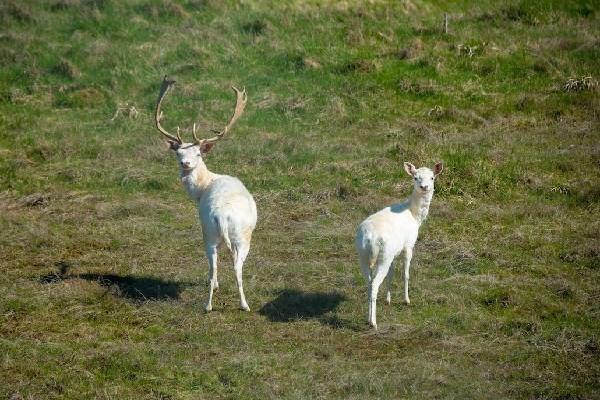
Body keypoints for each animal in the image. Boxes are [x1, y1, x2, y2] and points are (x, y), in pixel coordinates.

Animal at [152, 76, 255, 312]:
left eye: (198, 153)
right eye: (178, 153)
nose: (185, 163)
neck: (204, 186)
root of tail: (223, 218)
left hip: (212, 233)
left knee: (216, 266)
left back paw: (209, 305)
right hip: (238, 236)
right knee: (234, 268)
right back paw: (241, 304)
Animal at [354, 161, 442, 330]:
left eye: (432, 177)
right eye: (415, 177)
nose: (424, 187)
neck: (415, 217)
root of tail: (369, 237)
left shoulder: (394, 253)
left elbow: (391, 274)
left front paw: (388, 300)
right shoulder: (408, 245)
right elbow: (405, 274)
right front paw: (407, 300)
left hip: (363, 256)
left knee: (368, 283)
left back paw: (368, 318)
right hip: (383, 256)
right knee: (374, 284)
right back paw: (373, 323)